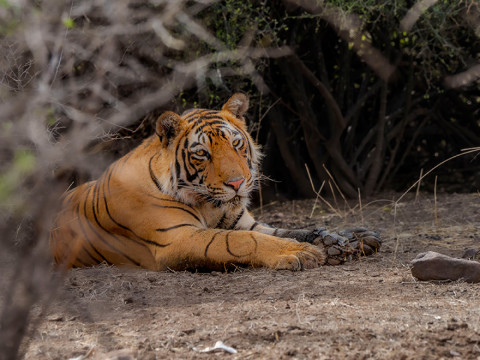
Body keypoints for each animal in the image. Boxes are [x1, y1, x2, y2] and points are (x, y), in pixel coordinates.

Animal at [50, 93, 380, 270]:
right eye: (202, 154)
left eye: (236, 144)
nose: (237, 183)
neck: (209, 205)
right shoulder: (177, 237)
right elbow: (241, 242)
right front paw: (300, 252)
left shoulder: (245, 222)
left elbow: (293, 229)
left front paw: (349, 238)